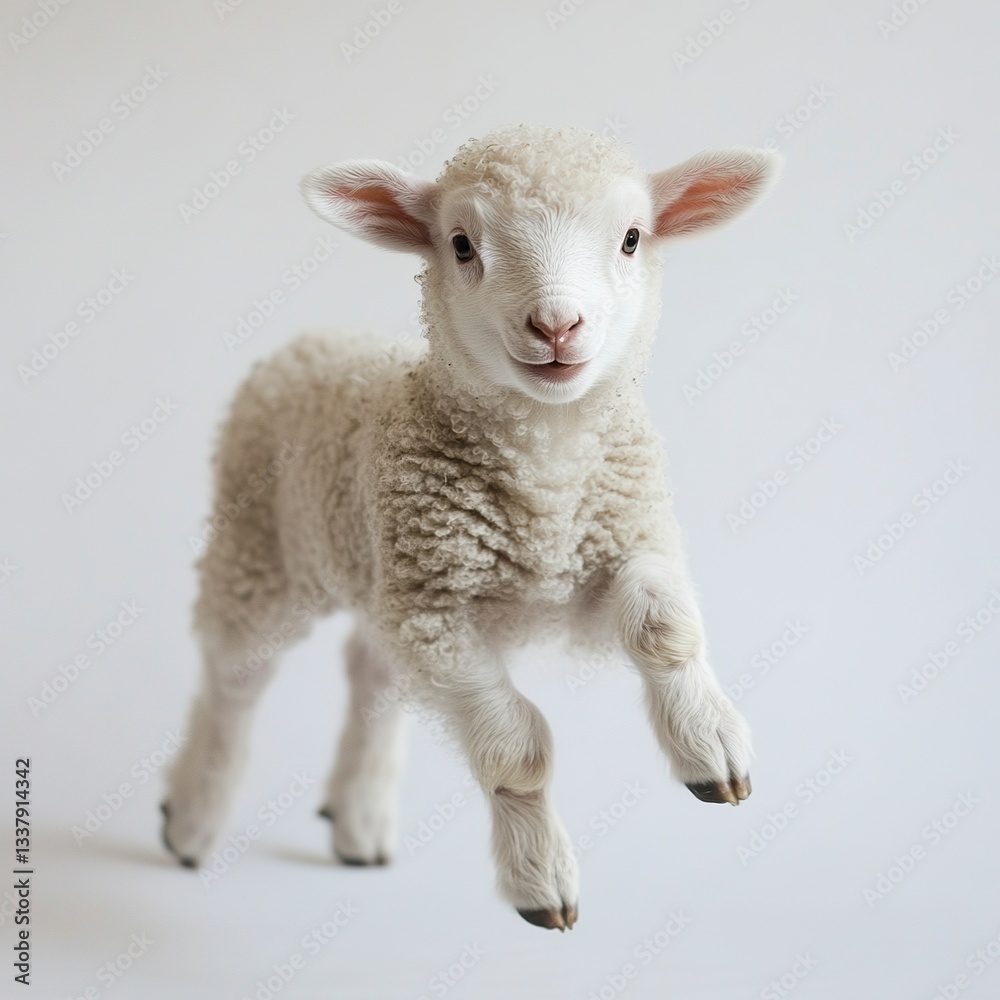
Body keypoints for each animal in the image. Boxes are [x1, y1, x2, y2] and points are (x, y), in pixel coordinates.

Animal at [161, 124, 782, 931]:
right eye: (461, 244)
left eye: (632, 238)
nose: (556, 325)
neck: (546, 474)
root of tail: (309, 342)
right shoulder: (438, 615)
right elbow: (517, 748)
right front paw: (540, 878)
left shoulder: (619, 538)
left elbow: (663, 628)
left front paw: (711, 748)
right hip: (259, 555)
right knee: (233, 682)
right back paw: (192, 816)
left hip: (382, 577)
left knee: (371, 673)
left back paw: (358, 819)